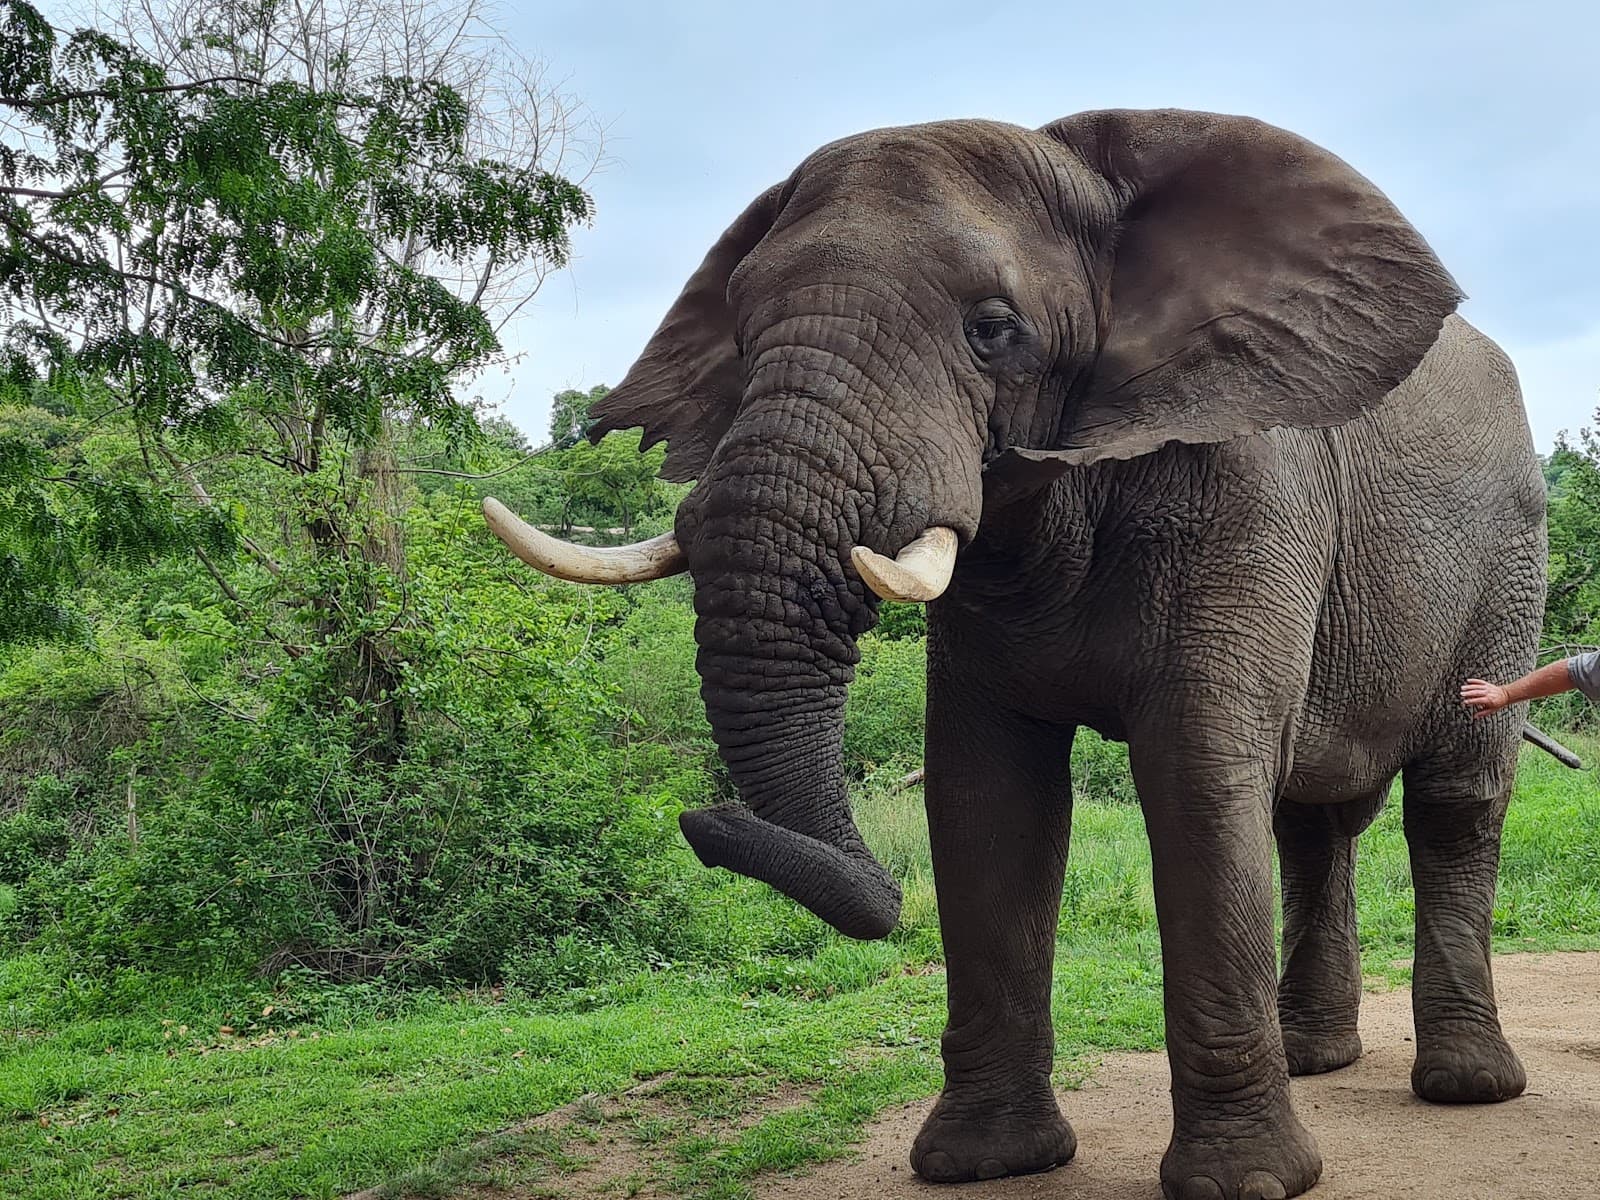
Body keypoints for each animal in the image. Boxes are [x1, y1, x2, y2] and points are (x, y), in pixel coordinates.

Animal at [485, 109, 1548, 1200]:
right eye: (741, 332)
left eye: (993, 331)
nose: (701, 820)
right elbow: (987, 795)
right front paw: (983, 1163)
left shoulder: (1249, 487)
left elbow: (1198, 773)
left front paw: (1244, 1185)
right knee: (1309, 818)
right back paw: (1312, 1059)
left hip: (1511, 564)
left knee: (1455, 799)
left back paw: (1466, 1085)